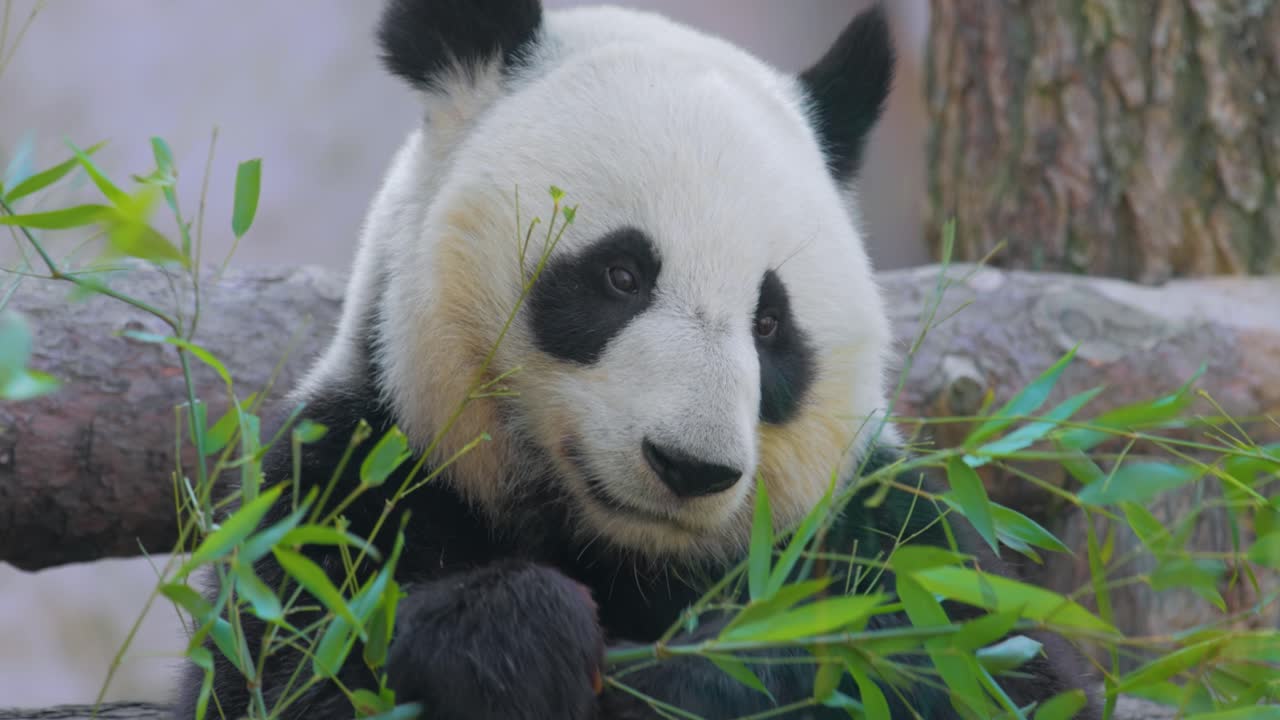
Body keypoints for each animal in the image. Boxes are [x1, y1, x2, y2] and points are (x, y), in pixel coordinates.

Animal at [174, 1, 1100, 718]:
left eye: (771, 322)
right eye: (621, 275)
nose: (690, 466)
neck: (620, 550)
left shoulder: (879, 526)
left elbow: (978, 662)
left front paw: (700, 671)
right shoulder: (349, 481)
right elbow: (289, 669)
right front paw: (514, 642)